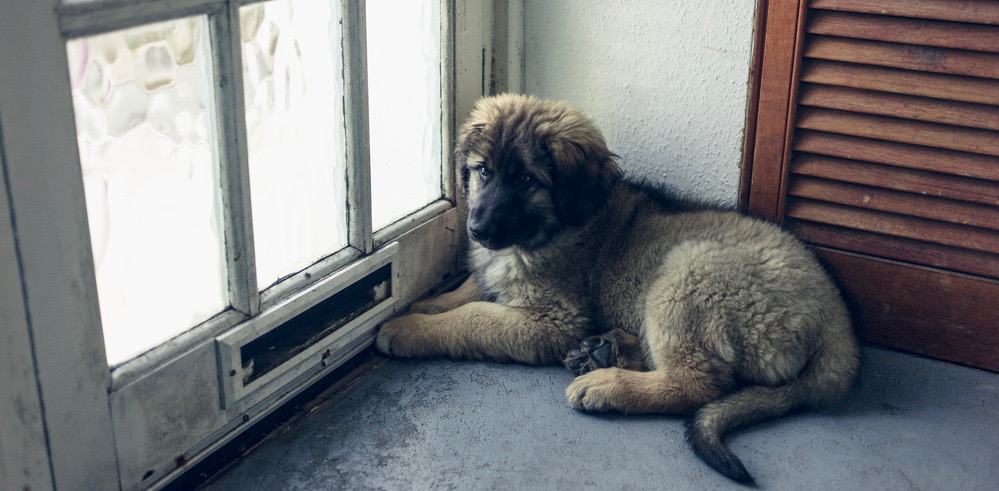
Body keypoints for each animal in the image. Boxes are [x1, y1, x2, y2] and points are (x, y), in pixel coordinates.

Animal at [376, 93, 860, 484]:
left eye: (527, 180)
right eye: (483, 172)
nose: (476, 229)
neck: (555, 229)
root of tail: (837, 321)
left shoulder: (554, 317)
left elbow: (472, 316)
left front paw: (407, 329)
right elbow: (468, 290)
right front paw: (426, 305)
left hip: (687, 274)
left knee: (698, 383)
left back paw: (606, 383)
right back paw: (606, 350)